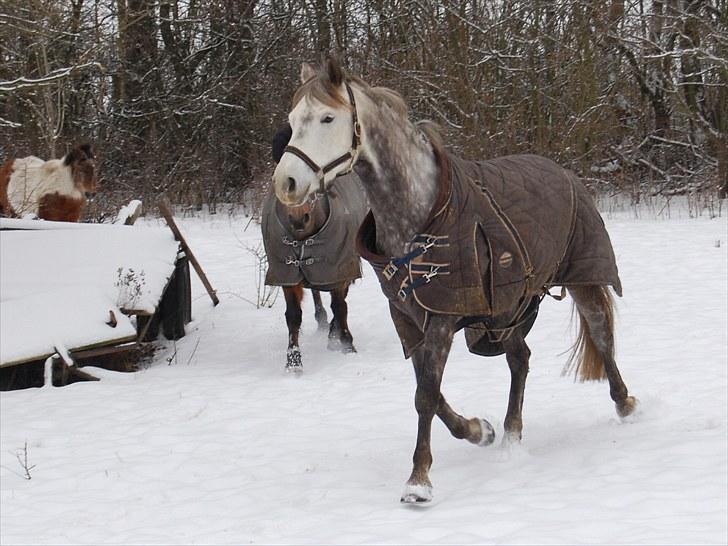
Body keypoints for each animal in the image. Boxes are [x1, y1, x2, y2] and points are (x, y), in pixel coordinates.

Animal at [272, 58, 636, 502]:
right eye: (293, 121)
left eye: (328, 118)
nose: (287, 184)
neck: (419, 213)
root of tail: (562, 170)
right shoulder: (409, 318)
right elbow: (428, 392)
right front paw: (478, 431)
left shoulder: (443, 315)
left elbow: (426, 396)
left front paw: (419, 480)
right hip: (504, 311)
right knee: (520, 359)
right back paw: (510, 437)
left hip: (581, 280)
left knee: (600, 336)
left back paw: (624, 404)